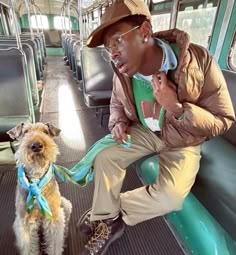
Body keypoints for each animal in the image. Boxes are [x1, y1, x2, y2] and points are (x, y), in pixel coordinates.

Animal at [7, 122, 72, 254]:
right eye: (25, 132)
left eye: (46, 132)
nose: (36, 145)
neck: (36, 179)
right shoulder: (25, 222)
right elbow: (29, 248)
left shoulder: (53, 217)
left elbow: (54, 245)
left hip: (66, 205)